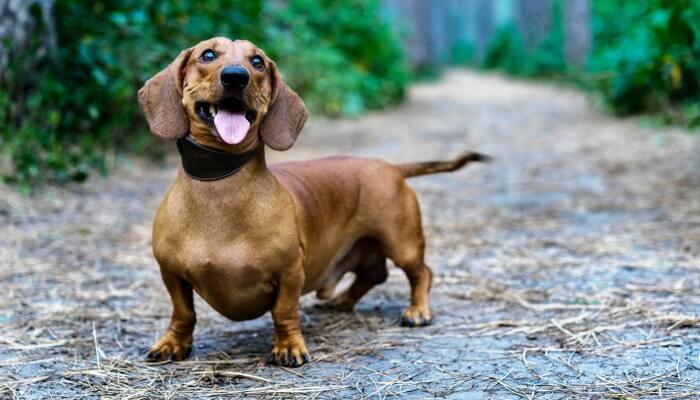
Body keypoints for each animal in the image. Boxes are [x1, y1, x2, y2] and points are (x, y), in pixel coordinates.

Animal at [135, 36, 486, 366]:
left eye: (257, 61)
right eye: (207, 54)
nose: (236, 76)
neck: (221, 184)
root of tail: (390, 166)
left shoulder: (290, 272)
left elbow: (284, 312)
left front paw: (289, 347)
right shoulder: (171, 273)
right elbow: (184, 312)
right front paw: (173, 344)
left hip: (403, 243)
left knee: (421, 273)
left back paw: (417, 310)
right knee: (373, 275)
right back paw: (342, 300)